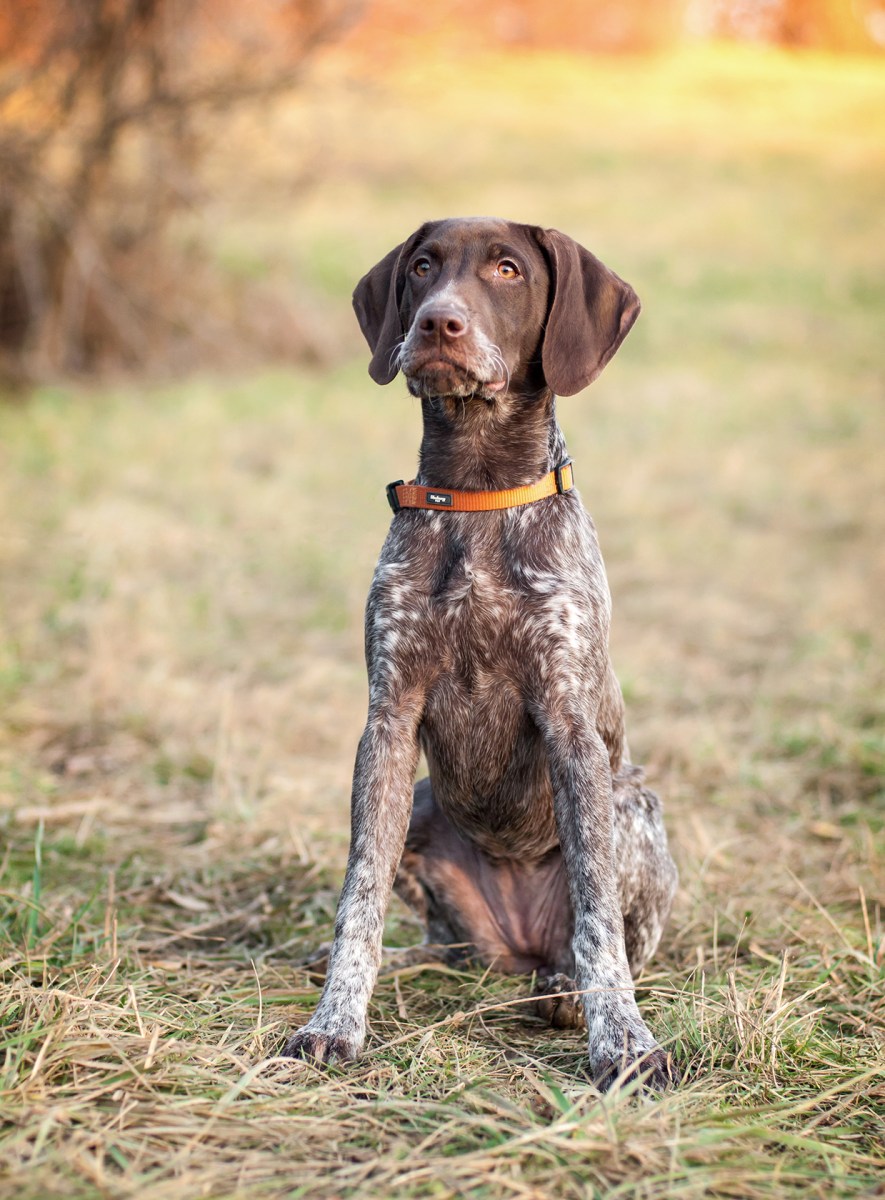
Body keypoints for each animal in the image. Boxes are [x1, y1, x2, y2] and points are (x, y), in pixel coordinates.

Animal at [282, 218, 678, 1089]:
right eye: (423, 268)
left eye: (506, 269)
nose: (438, 322)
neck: (477, 490)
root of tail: (515, 947)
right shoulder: (388, 724)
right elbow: (358, 897)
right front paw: (335, 1019)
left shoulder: (570, 728)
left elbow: (599, 920)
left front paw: (623, 1041)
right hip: (426, 804)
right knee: (441, 947)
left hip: (631, 806)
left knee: (608, 940)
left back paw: (562, 990)